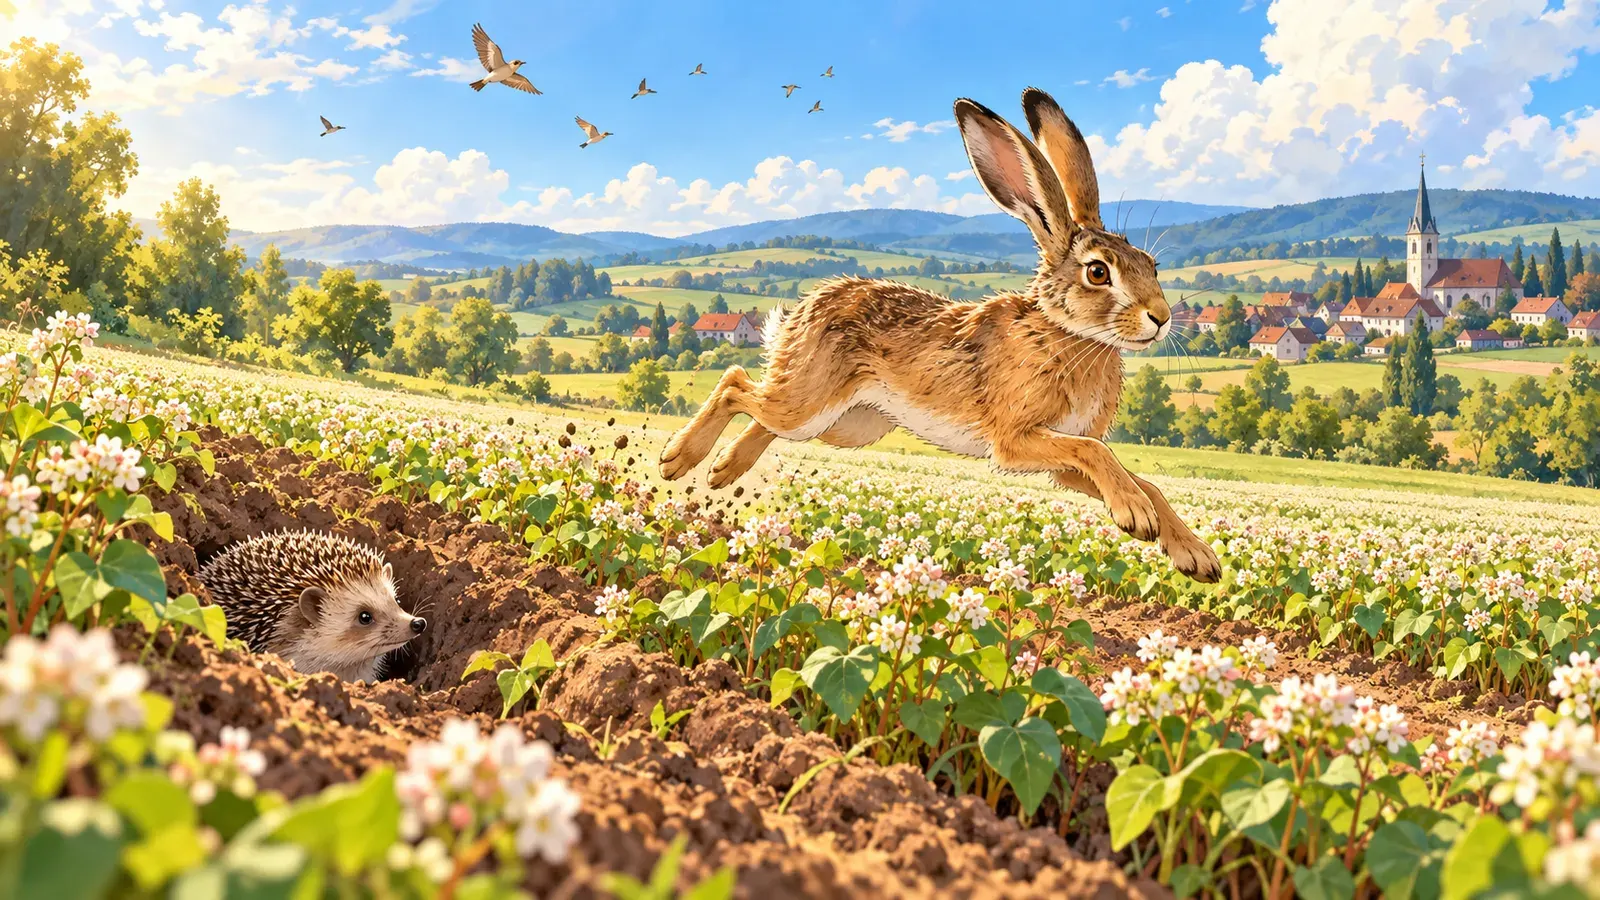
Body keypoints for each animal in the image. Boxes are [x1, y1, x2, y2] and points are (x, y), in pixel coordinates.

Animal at [658, 87, 1221, 583]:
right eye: (1099, 273)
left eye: (1151, 265)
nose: (1161, 316)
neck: (1067, 333)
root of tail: (808, 307)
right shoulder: (1015, 439)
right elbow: (1098, 454)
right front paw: (1135, 515)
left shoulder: (1058, 461)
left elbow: (1141, 478)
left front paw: (1194, 556)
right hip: (811, 402)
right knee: (736, 382)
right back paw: (678, 459)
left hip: (847, 424)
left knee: (763, 414)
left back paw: (724, 469)